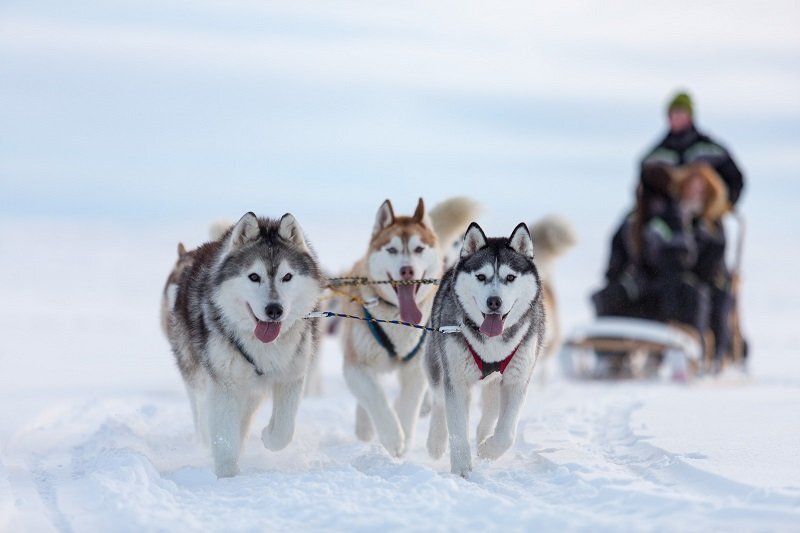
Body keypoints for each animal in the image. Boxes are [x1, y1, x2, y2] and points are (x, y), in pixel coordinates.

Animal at [164, 210, 324, 476]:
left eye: (287, 277)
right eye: (254, 277)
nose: (274, 310)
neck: (263, 346)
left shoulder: (291, 376)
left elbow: (283, 431)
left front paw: (268, 435)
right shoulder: (225, 385)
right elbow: (224, 438)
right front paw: (228, 476)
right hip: (195, 371)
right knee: (203, 411)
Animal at [340, 197, 478, 456]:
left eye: (418, 249)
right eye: (392, 250)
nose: (407, 270)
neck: (396, 319)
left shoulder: (414, 366)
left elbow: (407, 404)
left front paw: (402, 434)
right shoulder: (356, 364)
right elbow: (375, 397)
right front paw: (393, 436)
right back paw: (365, 426)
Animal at [424, 220, 544, 474]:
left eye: (510, 277)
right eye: (481, 276)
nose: (494, 301)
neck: (492, 344)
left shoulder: (517, 380)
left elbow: (507, 433)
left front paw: (489, 450)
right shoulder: (456, 380)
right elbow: (458, 429)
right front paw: (461, 469)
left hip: (495, 382)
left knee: (491, 410)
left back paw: (483, 437)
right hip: (436, 364)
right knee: (438, 399)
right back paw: (436, 442)